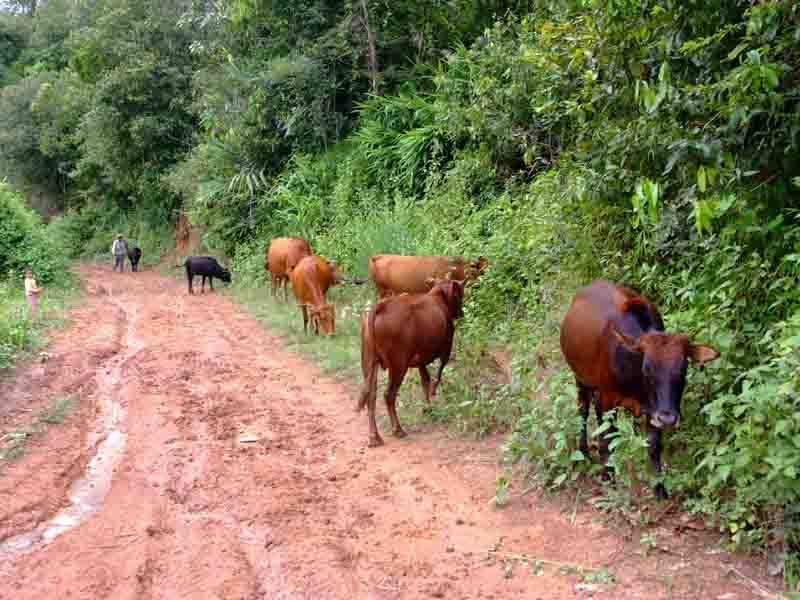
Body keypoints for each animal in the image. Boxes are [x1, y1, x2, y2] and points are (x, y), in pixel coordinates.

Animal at [360, 278, 466, 446]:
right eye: (460, 294)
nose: (461, 313)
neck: (439, 297)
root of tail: (381, 306)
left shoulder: (420, 360)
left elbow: (425, 380)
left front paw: (427, 407)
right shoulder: (446, 349)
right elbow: (437, 375)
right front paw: (433, 393)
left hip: (369, 363)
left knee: (371, 396)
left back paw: (374, 437)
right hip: (398, 365)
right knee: (389, 395)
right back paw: (398, 430)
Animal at [560, 278, 720, 500]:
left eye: (683, 369)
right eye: (647, 369)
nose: (668, 418)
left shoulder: (653, 410)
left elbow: (654, 446)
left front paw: (659, 488)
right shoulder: (607, 400)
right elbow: (606, 438)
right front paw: (608, 477)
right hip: (580, 378)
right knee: (582, 411)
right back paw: (583, 452)